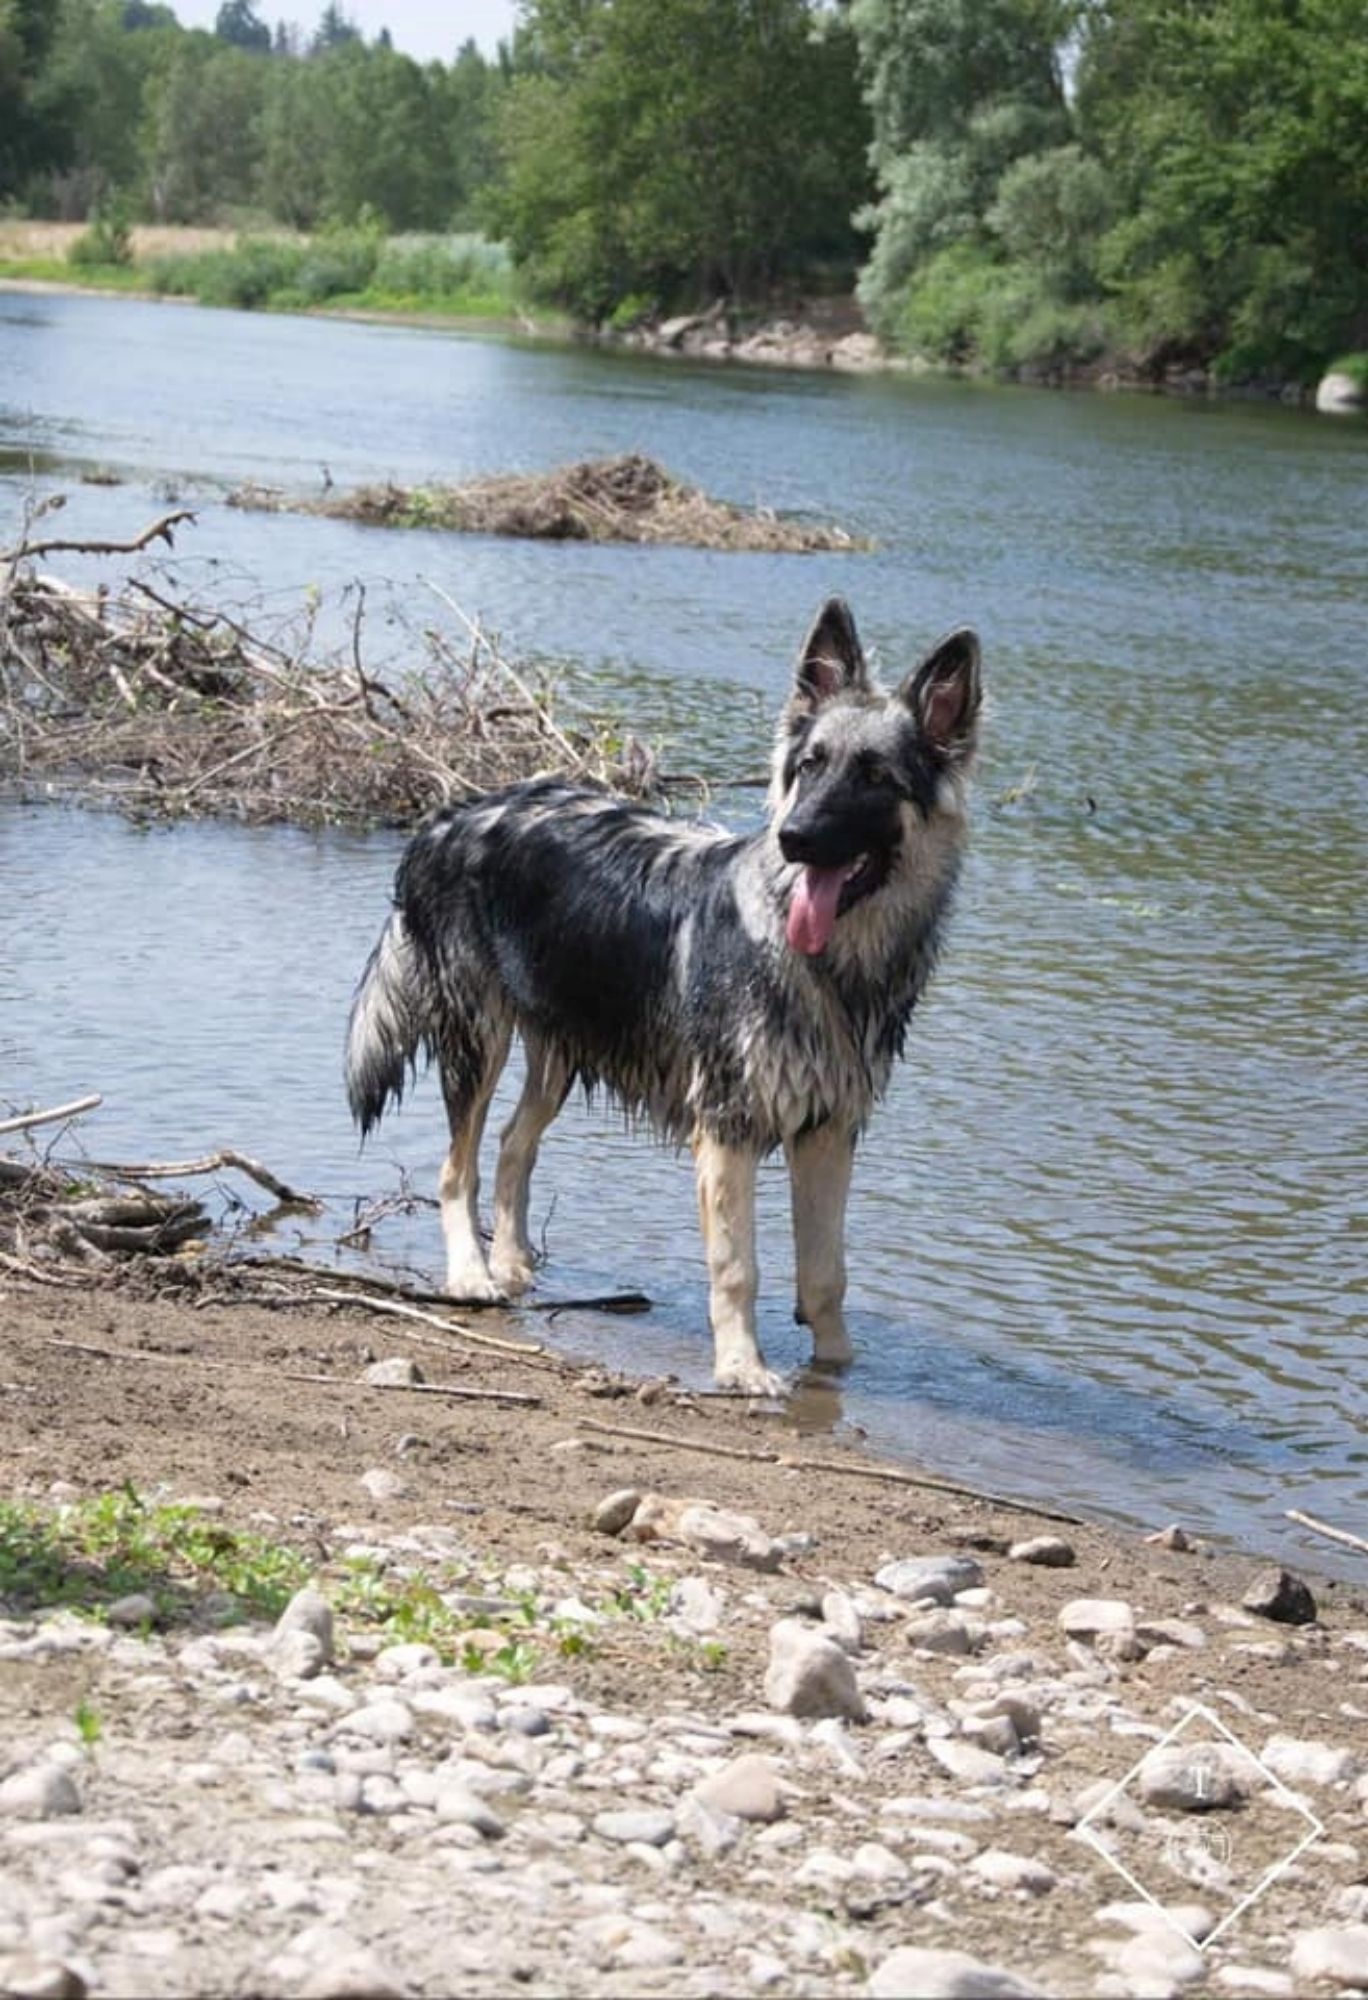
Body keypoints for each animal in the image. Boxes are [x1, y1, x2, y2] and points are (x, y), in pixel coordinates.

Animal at [346, 597, 981, 1394]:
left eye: (874, 777)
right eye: (810, 767)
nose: (796, 837)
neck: (830, 968)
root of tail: (451, 814)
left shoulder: (828, 1133)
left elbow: (825, 1275)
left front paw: (835, 1368)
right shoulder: (729, 1132)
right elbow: (738, 1267)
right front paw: (743, 1368)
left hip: (560, 1047)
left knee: (514, 1143)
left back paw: (513, 1263)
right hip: (478, 1040)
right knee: (456, 1168)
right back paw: (472, 1275)